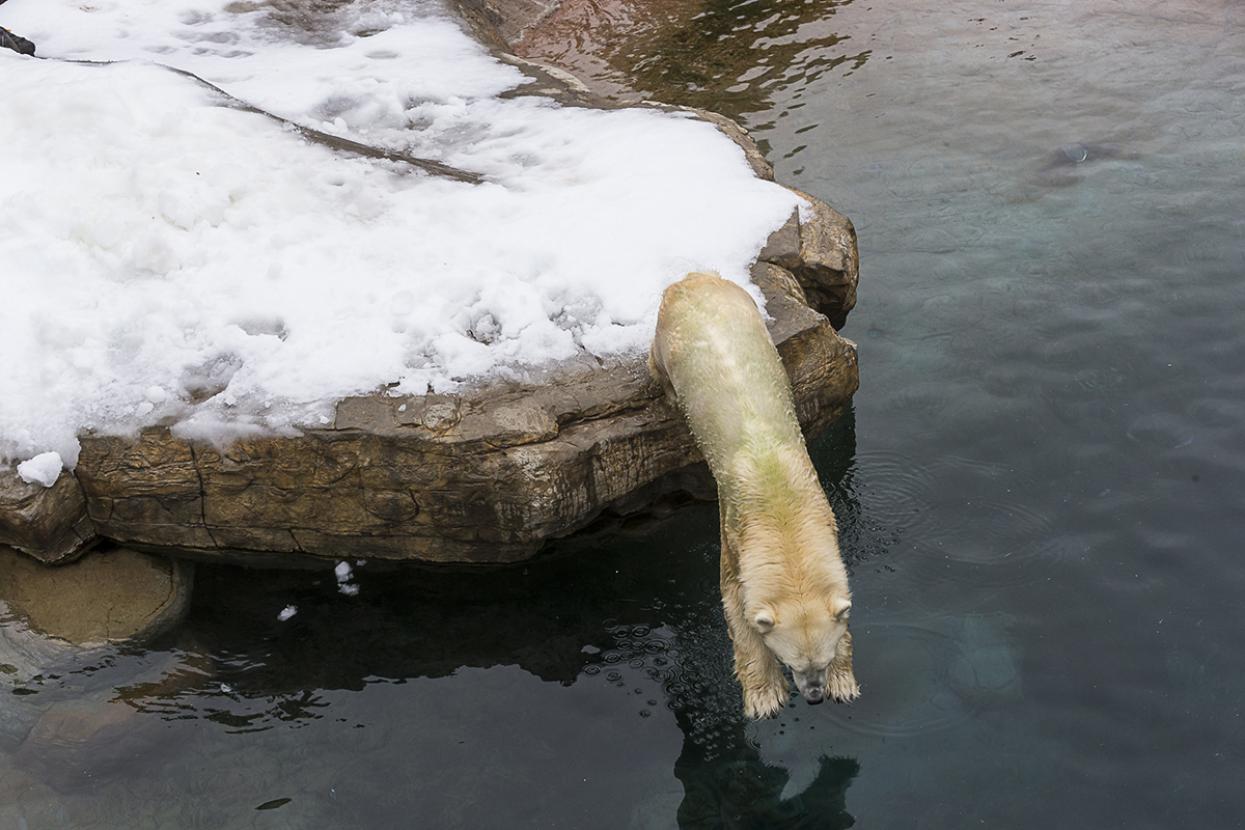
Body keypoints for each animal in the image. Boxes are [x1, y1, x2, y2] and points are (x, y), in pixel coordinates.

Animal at [650, 272, 859, 719]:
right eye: (790, 661)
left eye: (823, 660)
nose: (814, 697)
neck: (782, 504)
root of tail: (692, 278)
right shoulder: (734, 533)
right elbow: (736, 608)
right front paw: (765, 697)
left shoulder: (822, 506)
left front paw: (843, 683)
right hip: (666, 336)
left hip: (743, 304)